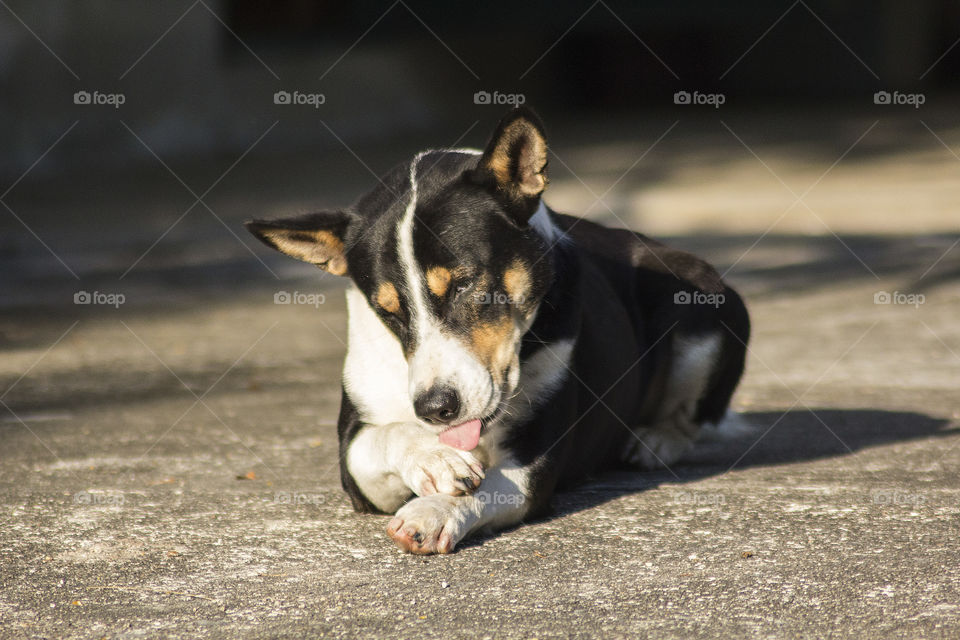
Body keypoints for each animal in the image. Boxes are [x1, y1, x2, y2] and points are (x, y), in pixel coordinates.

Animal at [246, 106, 752, 556]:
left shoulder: (534, 462)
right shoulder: (356, 463)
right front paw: (435, 459)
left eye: (465, 283)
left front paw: (433, 512)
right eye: (387, 310)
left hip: (703, 306)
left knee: (690, 416)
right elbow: (390, 435)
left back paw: (654, 440)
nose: (436, 409)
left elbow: (486, 487)